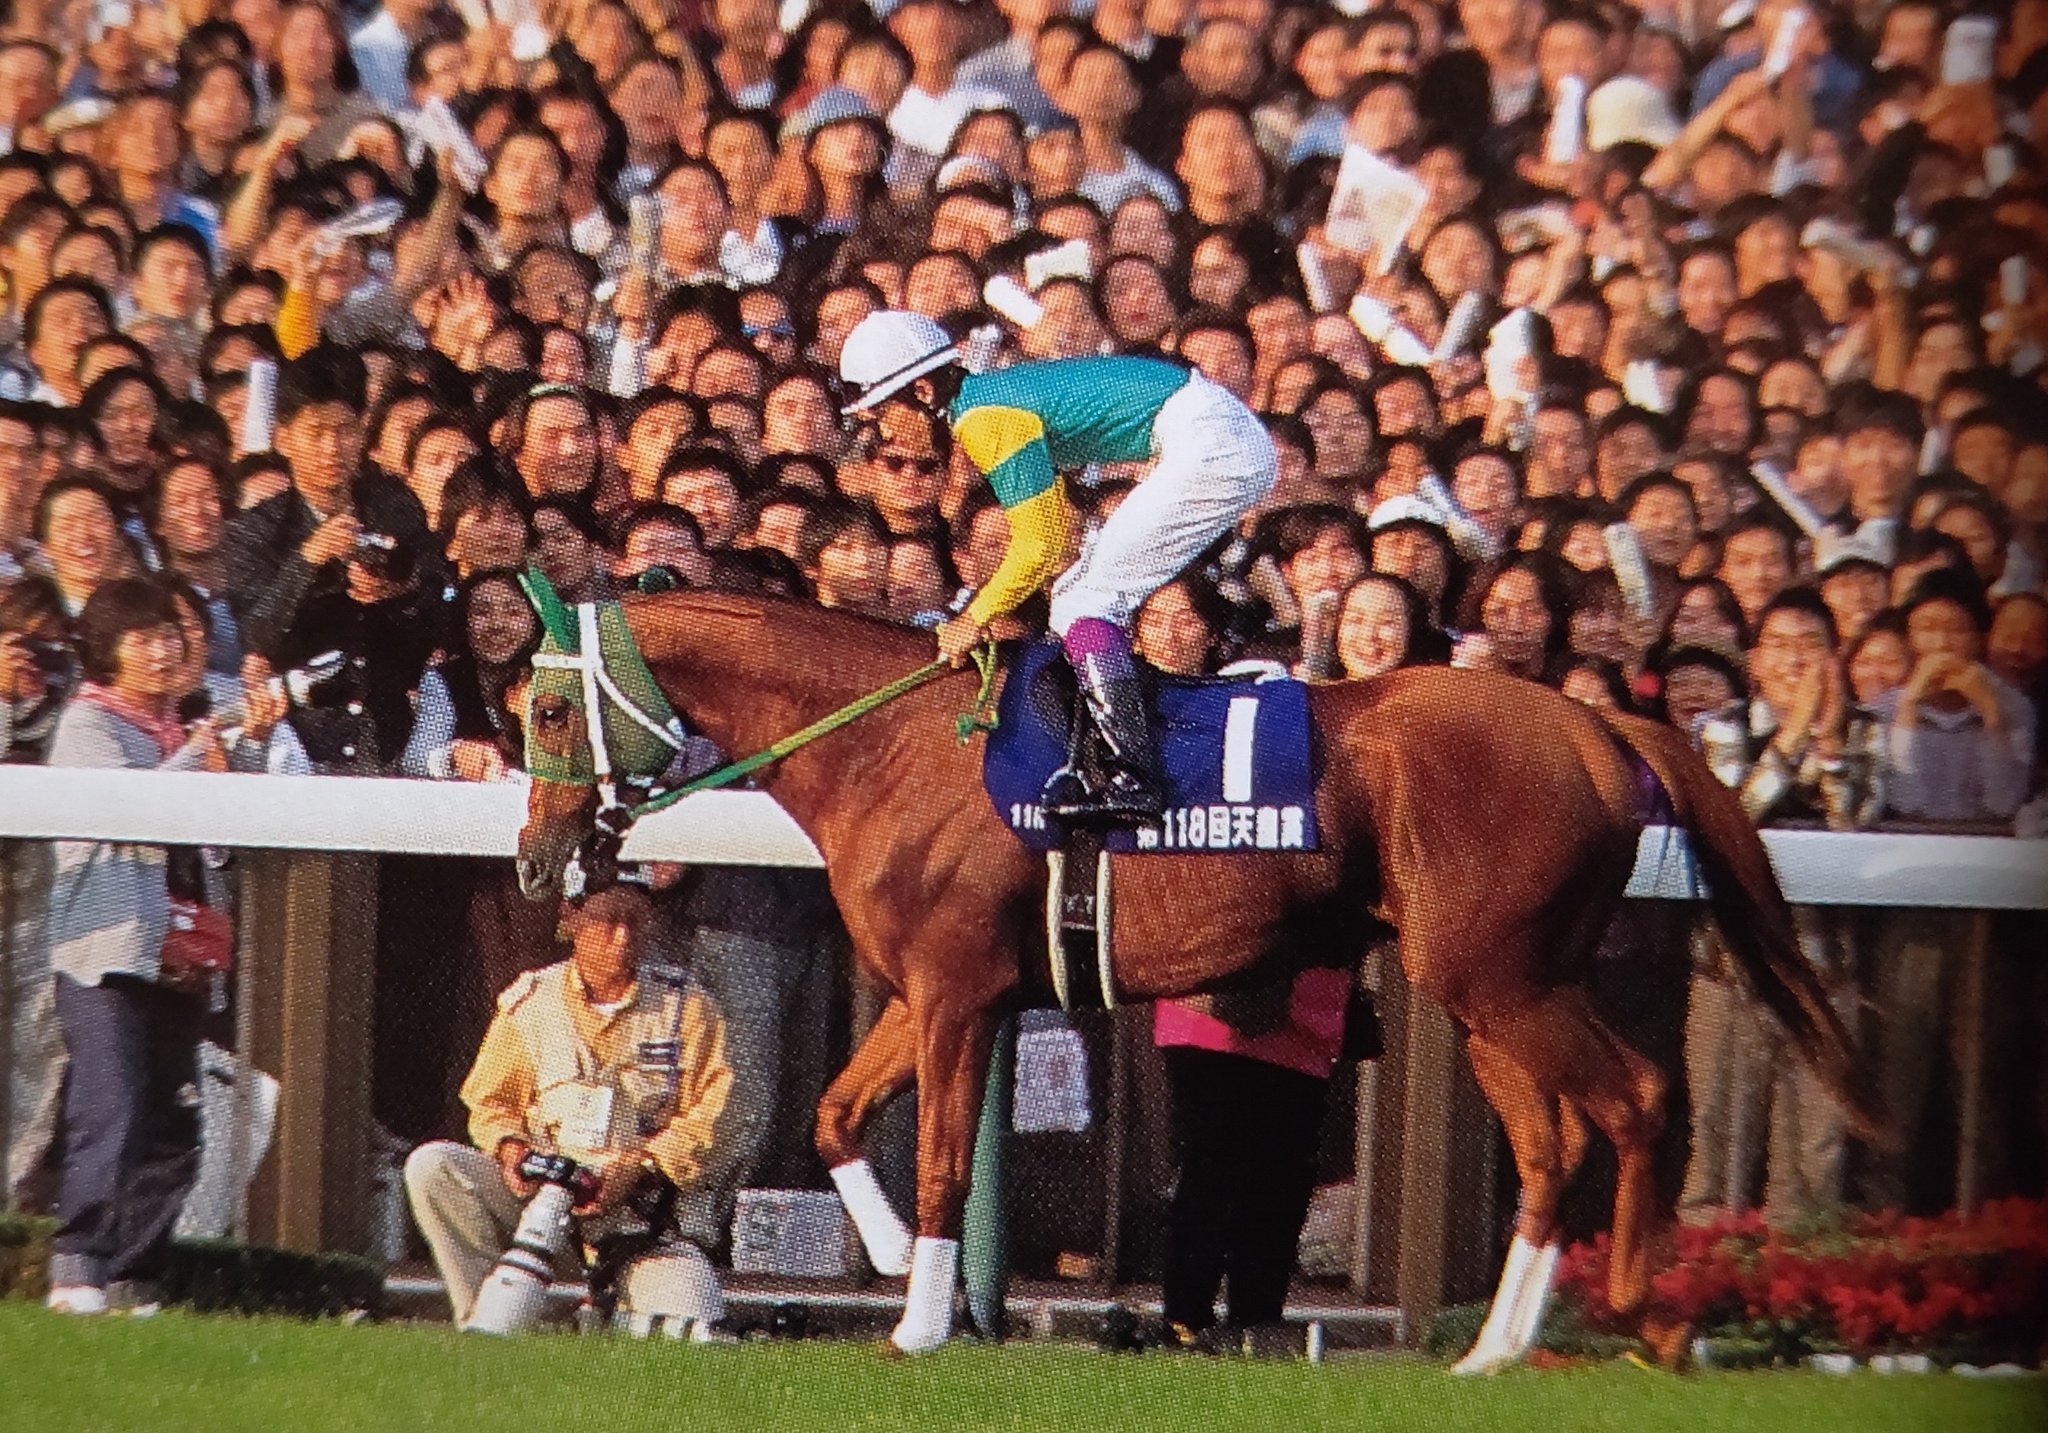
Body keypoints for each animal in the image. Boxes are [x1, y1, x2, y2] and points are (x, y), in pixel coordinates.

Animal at [514, 586, 1878, 1366]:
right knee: (1553, 1144)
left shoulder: (956, 993)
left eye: (543, 710)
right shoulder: (931, 990)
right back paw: (1491, 1350)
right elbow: (838, 1112)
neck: (890, 741)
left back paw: (1648, 1313)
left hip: (1504, 980)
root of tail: (1599, 723)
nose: (537, 857)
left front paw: (919, 1319)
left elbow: (945, 1152)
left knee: (1637, 1098)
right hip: (1494, 986)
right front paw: (899, 1259)